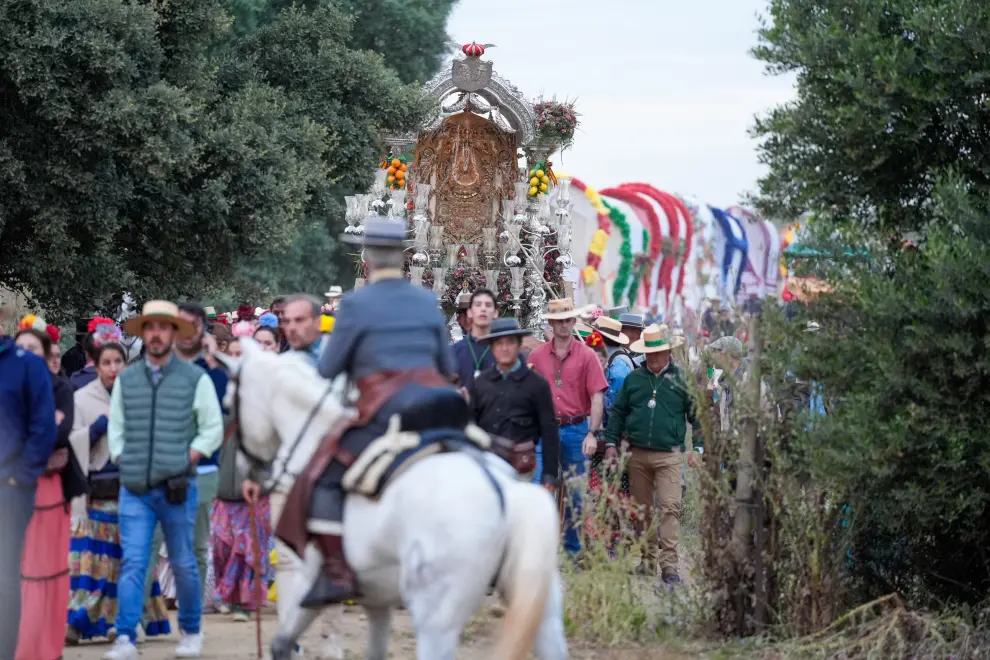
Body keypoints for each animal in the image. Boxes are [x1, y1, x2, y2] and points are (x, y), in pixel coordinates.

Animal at [217, 340, 572, 660]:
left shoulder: (309, 582)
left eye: (228, 404)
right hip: (544, 615)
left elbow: (282, 642)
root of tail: (507, 494)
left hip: (437, 622)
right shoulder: (377, 600)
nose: (248, 474)